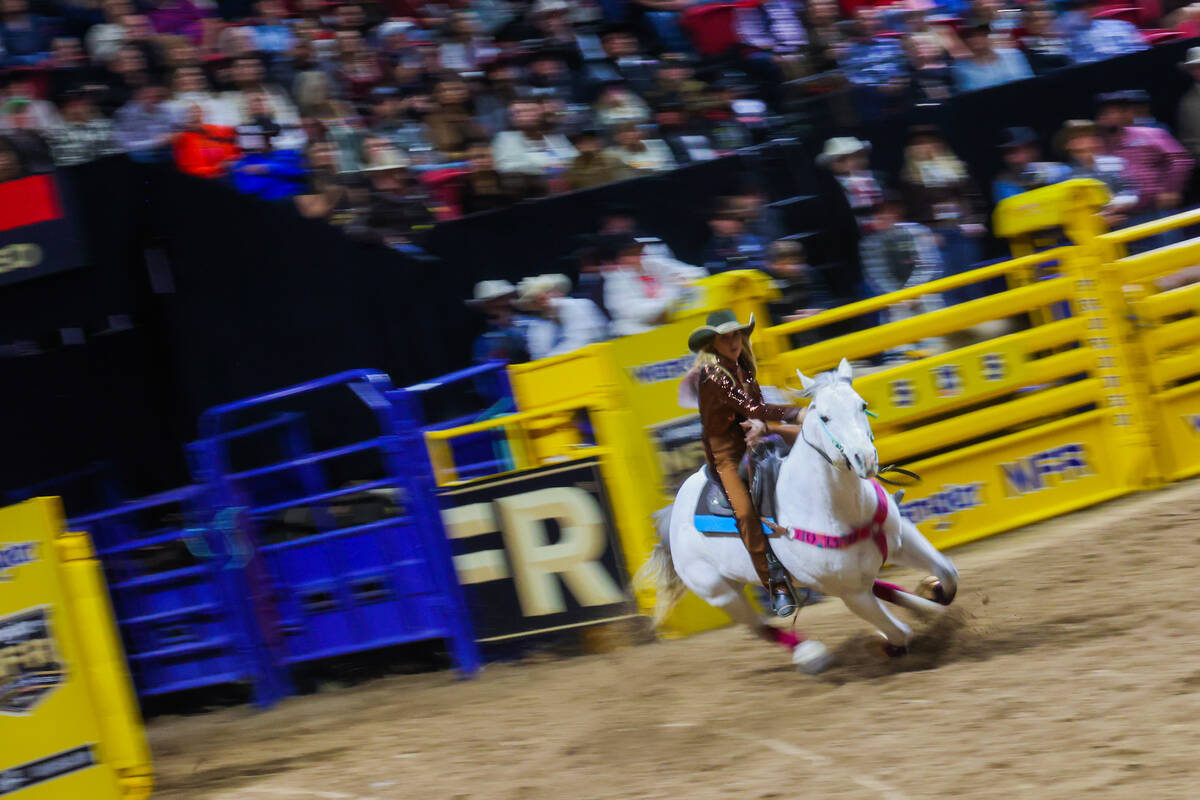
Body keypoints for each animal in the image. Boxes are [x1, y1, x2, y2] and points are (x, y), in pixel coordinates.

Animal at [643, 359, 960, 671]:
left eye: (862, 405)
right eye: (825, 417)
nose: (866, 459)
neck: (838, 508)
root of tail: (674, 512)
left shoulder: (902, 541)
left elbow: (948, 574)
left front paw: (933, 594)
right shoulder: (852, 594)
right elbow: (899, 633)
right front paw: (887, 643)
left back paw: (922, 604)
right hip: (719, 591)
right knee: (760, 628)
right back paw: (810, 654)